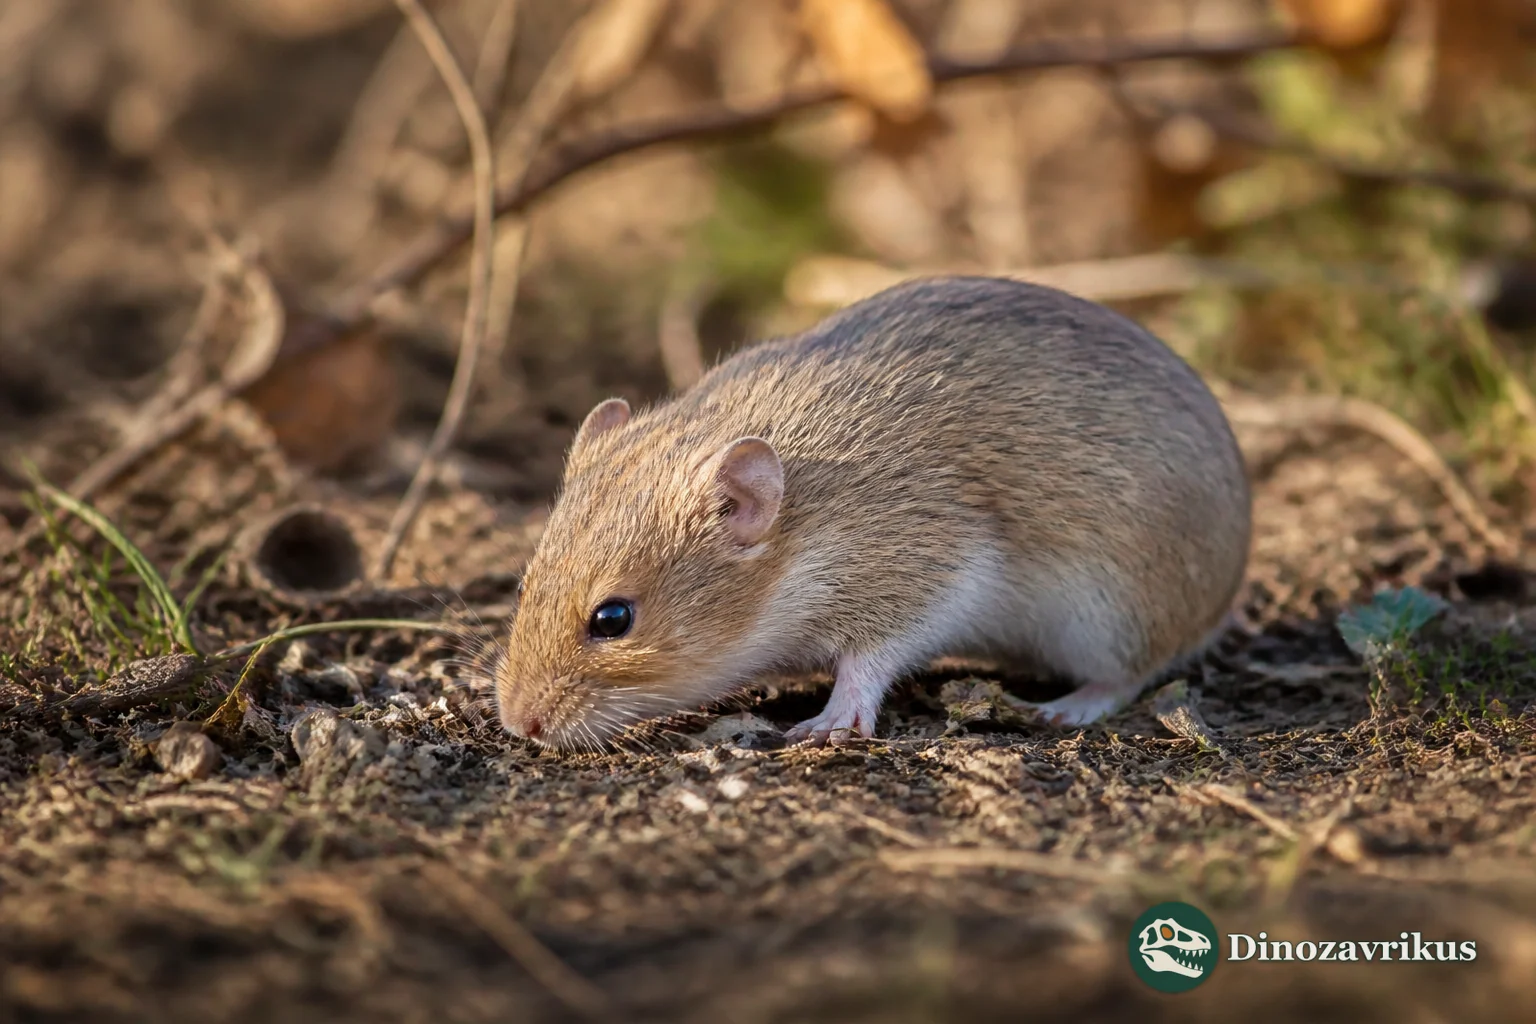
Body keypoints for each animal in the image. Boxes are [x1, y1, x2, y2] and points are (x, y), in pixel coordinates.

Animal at [494, 276, 1252, 750]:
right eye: (524, 585)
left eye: (612, 619)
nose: (519, 725)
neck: (798, 532)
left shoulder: (927, 576)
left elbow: (867, 661)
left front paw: (827, 725)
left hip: (1111, 616)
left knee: (1130, 673)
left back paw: (1064, 708)